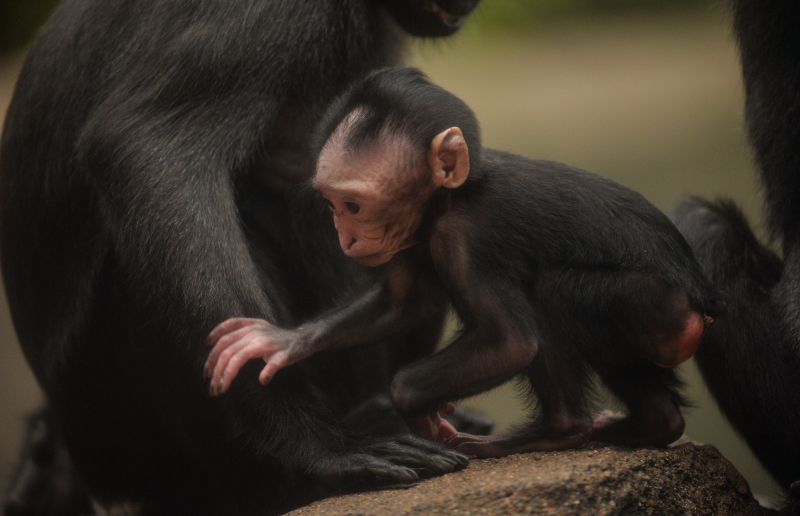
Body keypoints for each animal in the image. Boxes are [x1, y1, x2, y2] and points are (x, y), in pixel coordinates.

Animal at [204, 67, 727, 457]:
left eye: (352, 205)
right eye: (331, 204)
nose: (344, 236)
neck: (449, 201)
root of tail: (701, 306)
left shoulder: (464, 237)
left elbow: (509, 343)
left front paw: (412, 404)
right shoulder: (411, 238)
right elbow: (402, 304)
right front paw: (283, 341)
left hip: (655, 309)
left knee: (552, 294)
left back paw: (559, 430)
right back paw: (648, 427)